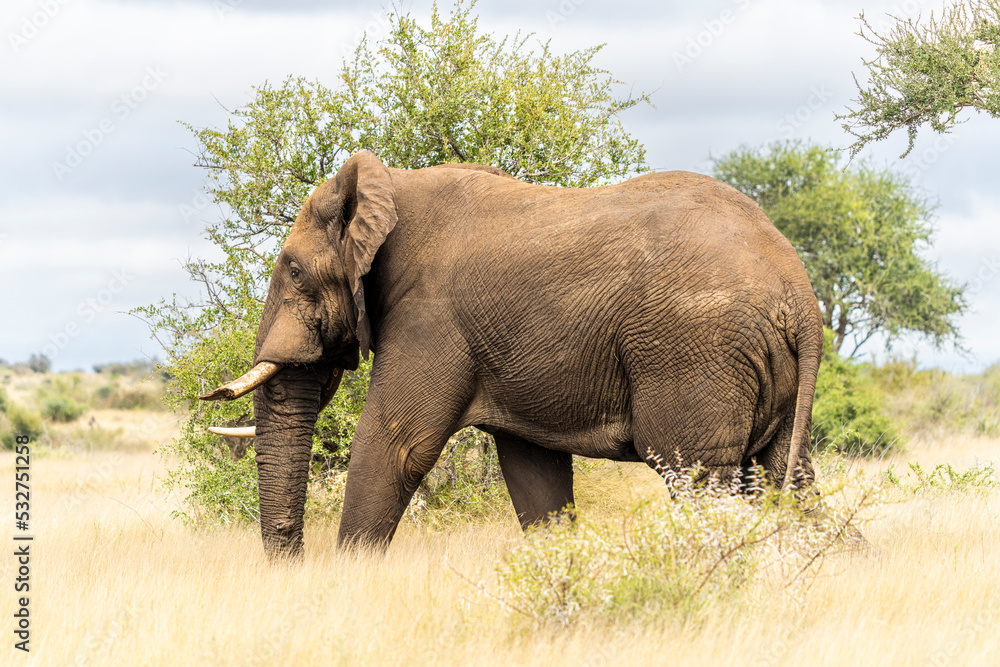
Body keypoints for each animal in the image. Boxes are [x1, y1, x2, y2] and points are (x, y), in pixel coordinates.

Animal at [201, 150, 824, 559]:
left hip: (695, 349)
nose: (292, 565)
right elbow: (535, 475)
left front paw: (350, 577)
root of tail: (797, 287)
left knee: (697, 478)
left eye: (294, 271)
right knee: (788, 477)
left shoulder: (431, 317)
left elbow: (395, 446)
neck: (392, 187)